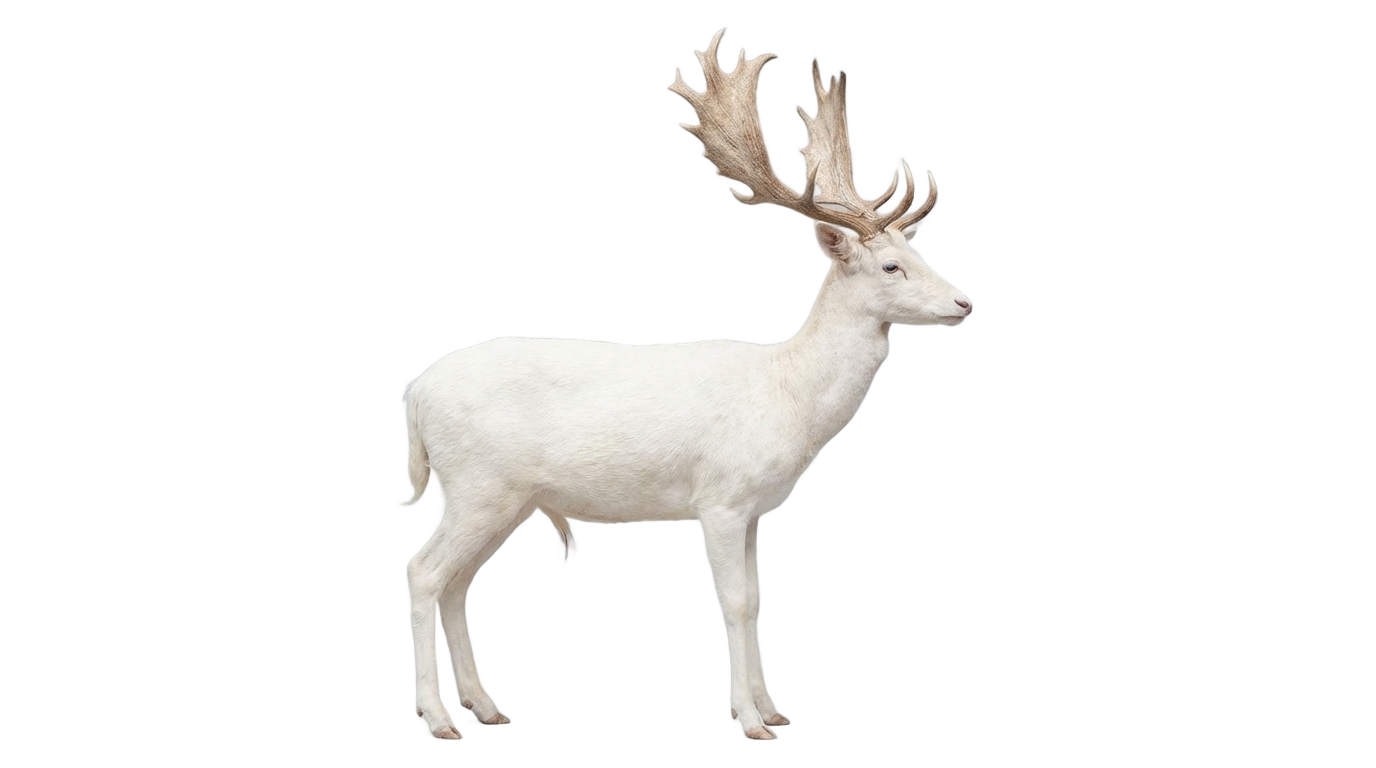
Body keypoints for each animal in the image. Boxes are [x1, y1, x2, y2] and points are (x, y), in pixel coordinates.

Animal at [404, 31, 972, 741]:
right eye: (893, 265)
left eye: (918, 252)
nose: (963, 302)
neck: (788, 397)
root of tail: (415, 399)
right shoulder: (721, 495)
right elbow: (733, 600)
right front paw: (750, 720)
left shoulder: (754, 506)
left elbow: (756, 594)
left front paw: (771, 707)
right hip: (478, 483)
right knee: (425, 576)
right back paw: (437, 718)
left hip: (496, 496)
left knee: (457, 583)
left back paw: (484, 707)